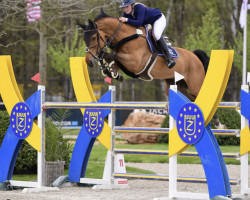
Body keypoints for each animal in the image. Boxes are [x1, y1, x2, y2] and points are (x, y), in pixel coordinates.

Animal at [76, 8, 209, 102]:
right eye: (84, 39)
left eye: (93, 37)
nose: (88, 61)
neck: (126, 37)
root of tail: (195, 57)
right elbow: (109, 56)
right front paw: (111, 72)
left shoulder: (135, 63)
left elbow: (112, 55)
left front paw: (109, 69)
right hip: (177, 84)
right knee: (191, 98)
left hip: (195, 85)